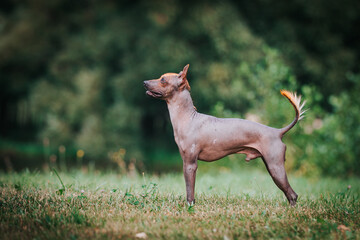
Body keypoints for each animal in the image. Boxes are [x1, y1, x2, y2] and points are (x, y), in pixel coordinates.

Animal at [143, 64, 306, 206]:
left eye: (163, 80)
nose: (144, 82)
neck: (188, 118)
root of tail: (277, 131)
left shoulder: (190, 164)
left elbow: (190, 191)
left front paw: (189, 207)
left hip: (275, 168)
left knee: (292, 194)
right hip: (271, 166)